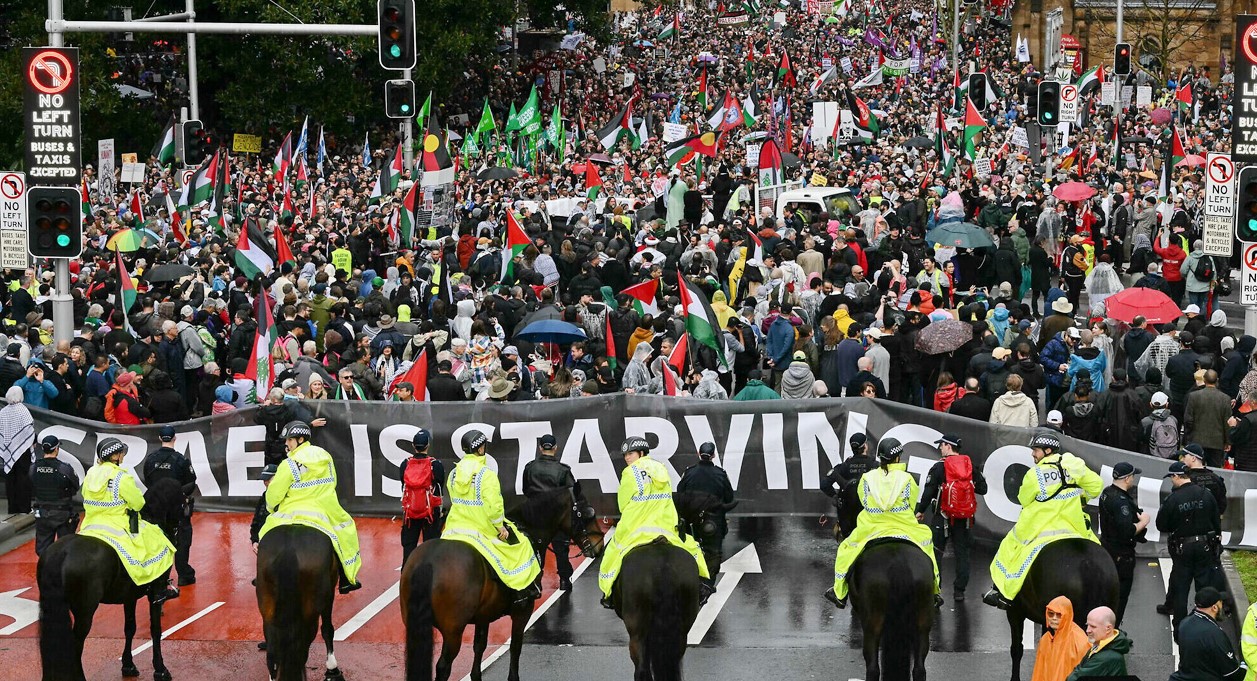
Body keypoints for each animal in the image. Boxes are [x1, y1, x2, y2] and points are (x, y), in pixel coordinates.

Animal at [37, 476, 185, 681]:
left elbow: (130, 627)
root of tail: (62, 554)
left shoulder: (130, 596)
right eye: (184, 502)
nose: (177, 535)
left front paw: (128, 665)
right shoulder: (155, 594)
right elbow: (156, 630)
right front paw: (160, 669)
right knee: (75, 644)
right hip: (85, 610)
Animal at [255, 524, 345, 681]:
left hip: (268, 610)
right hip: (311, 612)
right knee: (300, 652)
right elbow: (328, 629)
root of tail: (289, 549)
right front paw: (332, 670)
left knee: (273, 654)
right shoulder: (329, 594)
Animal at [401, 488, 604, 681]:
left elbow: (479, 646)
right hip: (453, 632)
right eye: (589, 514)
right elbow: (515, 646)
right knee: (443, 667)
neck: (529, 531)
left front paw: (476, 675)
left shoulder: (483, 615)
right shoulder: (522, 611)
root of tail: (427, 562)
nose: (600, 546)